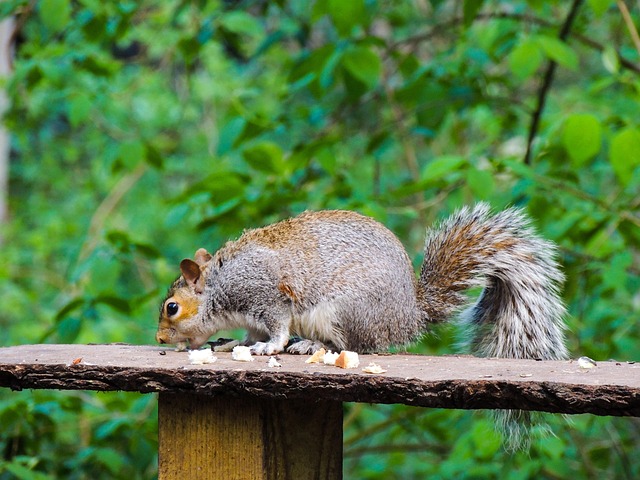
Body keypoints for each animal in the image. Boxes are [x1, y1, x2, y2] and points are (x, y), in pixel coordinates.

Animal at [156, 204, 567, 361]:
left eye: (172, 308)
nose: (160, 339)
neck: (219, 284)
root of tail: (409, 315)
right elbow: (248, 334)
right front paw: (232, 344)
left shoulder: (265, 293)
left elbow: (276, 328)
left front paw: (268, 347)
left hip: (345, 311)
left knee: (350, 345)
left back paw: (311, 345)